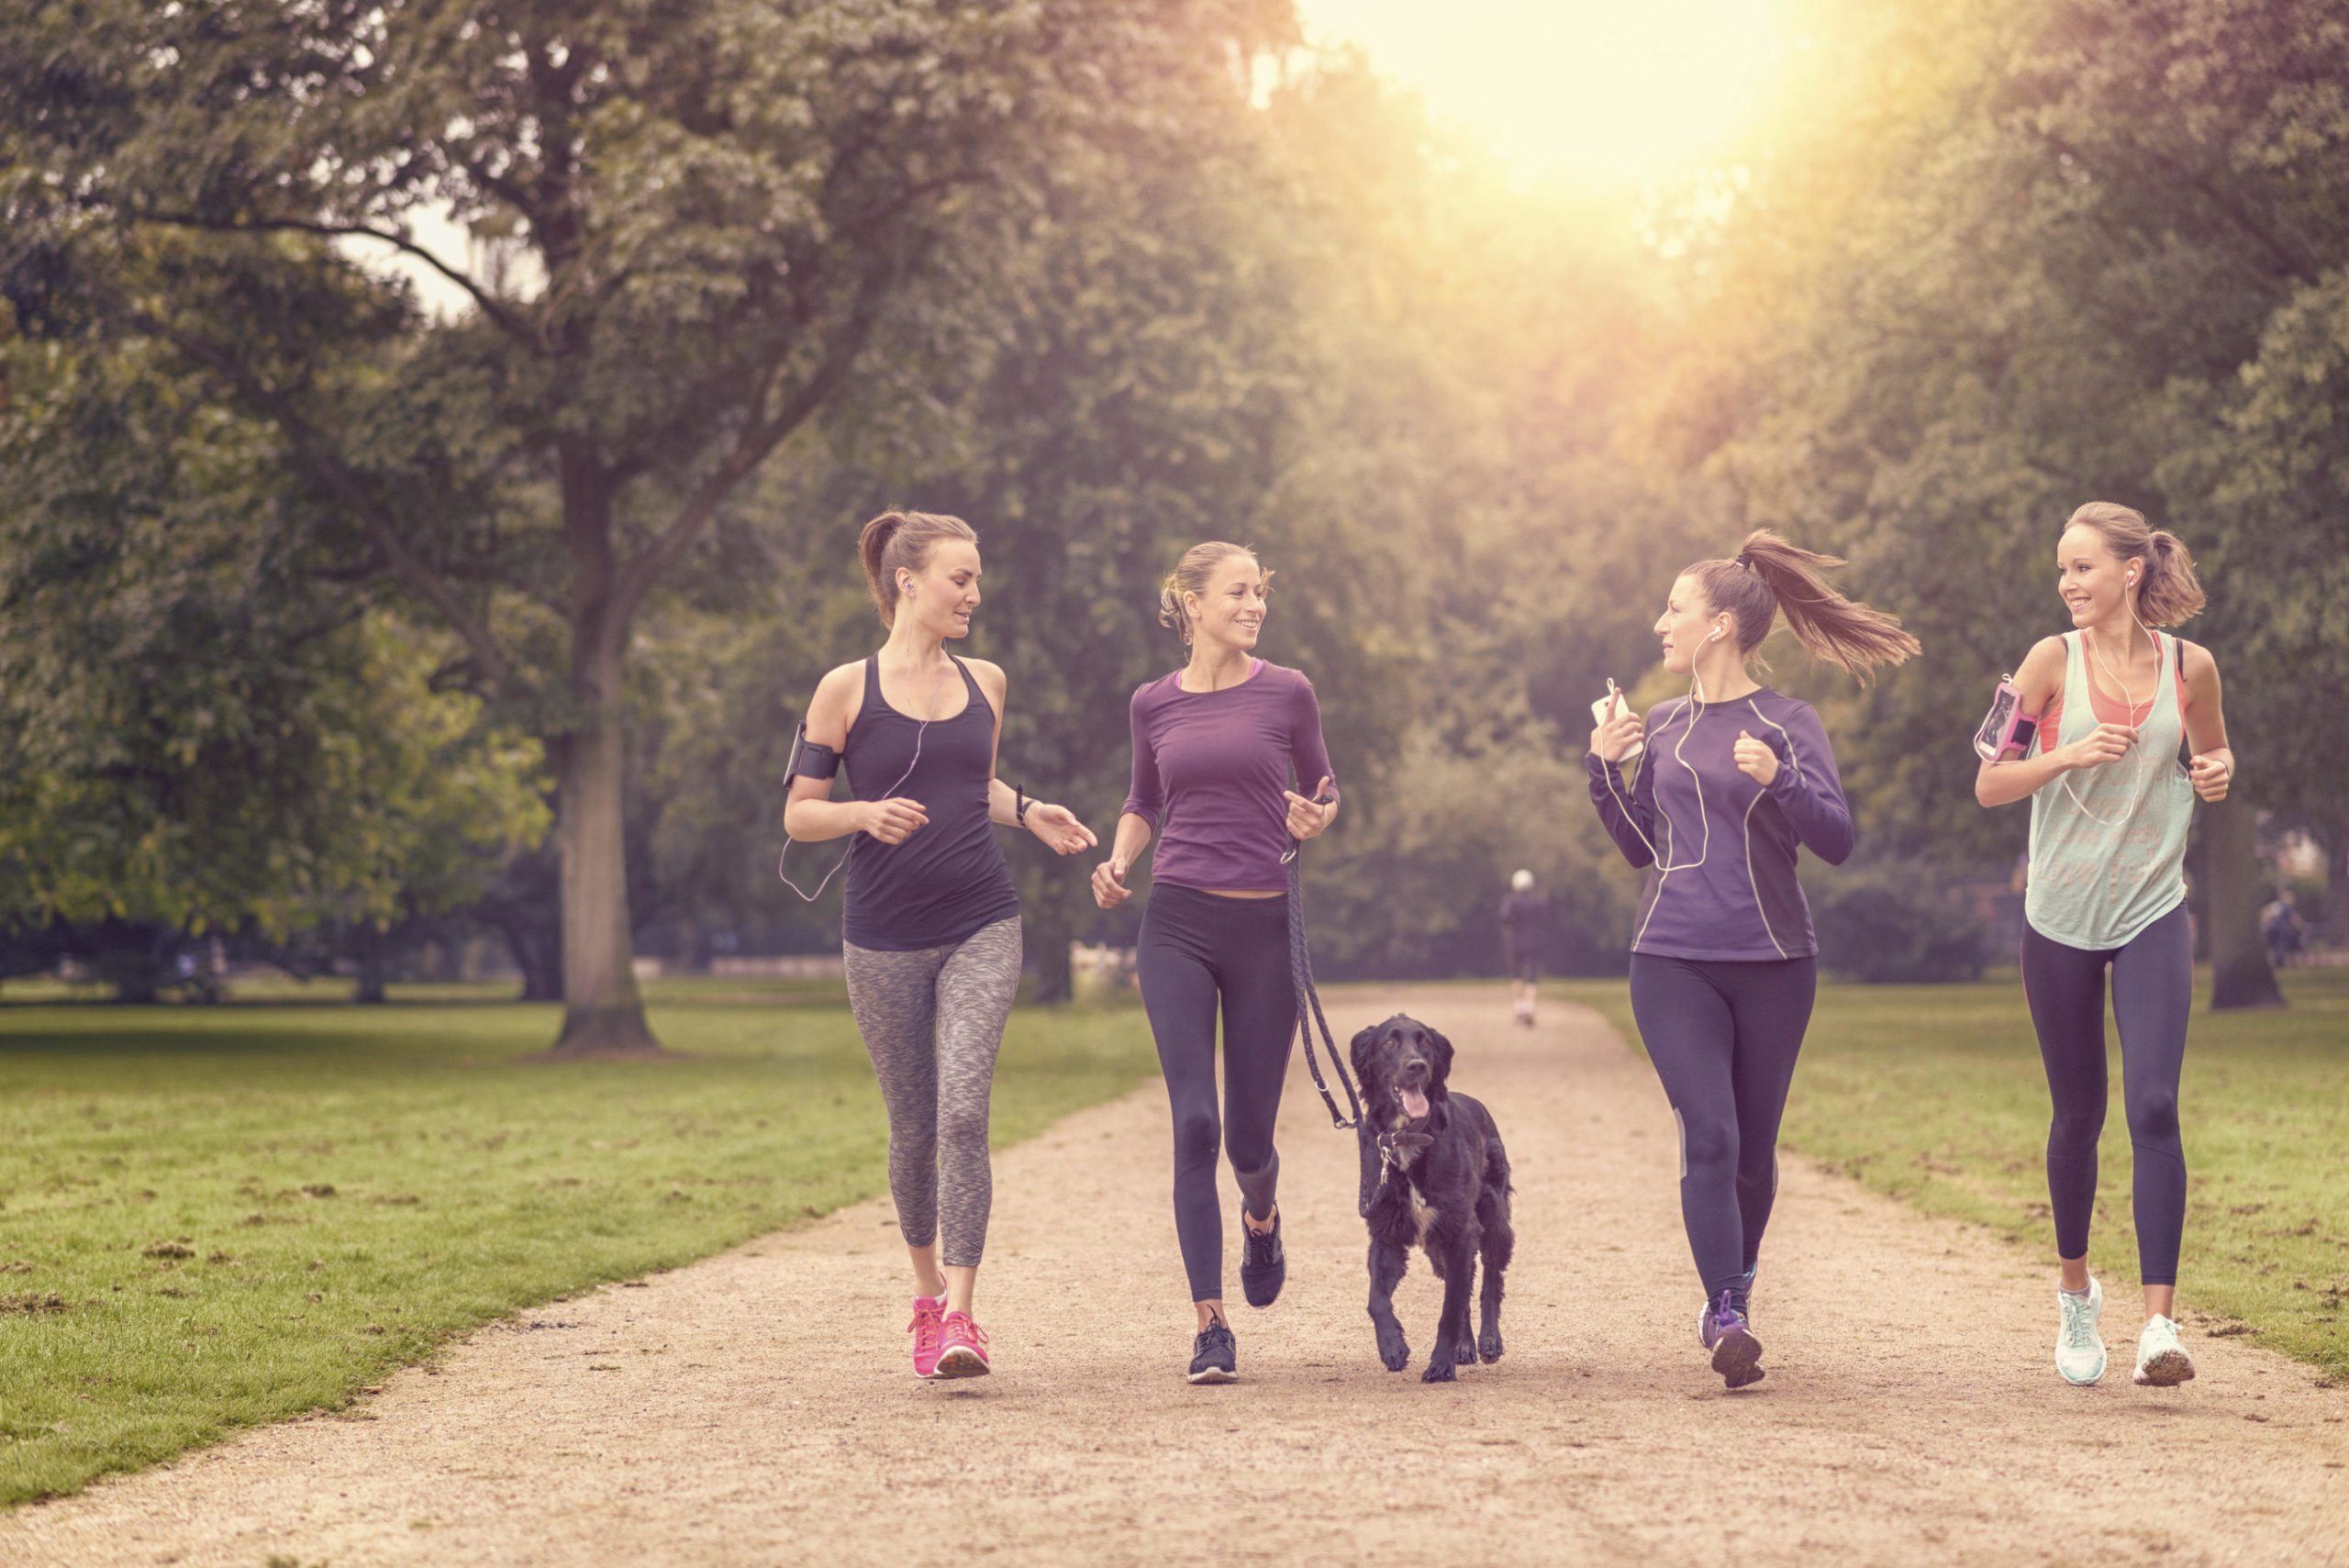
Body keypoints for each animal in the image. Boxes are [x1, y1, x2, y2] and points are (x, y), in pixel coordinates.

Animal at [1353, 1009, 1512, 1380]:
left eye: (1425, 1042)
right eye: (1389, 1043)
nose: (1417, 1066)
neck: (1407, 1139)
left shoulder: (1461, 1229)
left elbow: (1450, 1309)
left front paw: (1440, 1365)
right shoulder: (1385, 1231)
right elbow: (1376, 1297)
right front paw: (1392, 1346)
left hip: (1493, 1219)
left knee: (1489, 1282)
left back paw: (1488, 1341)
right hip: (1438, 1245)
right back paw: (1465, 1346)